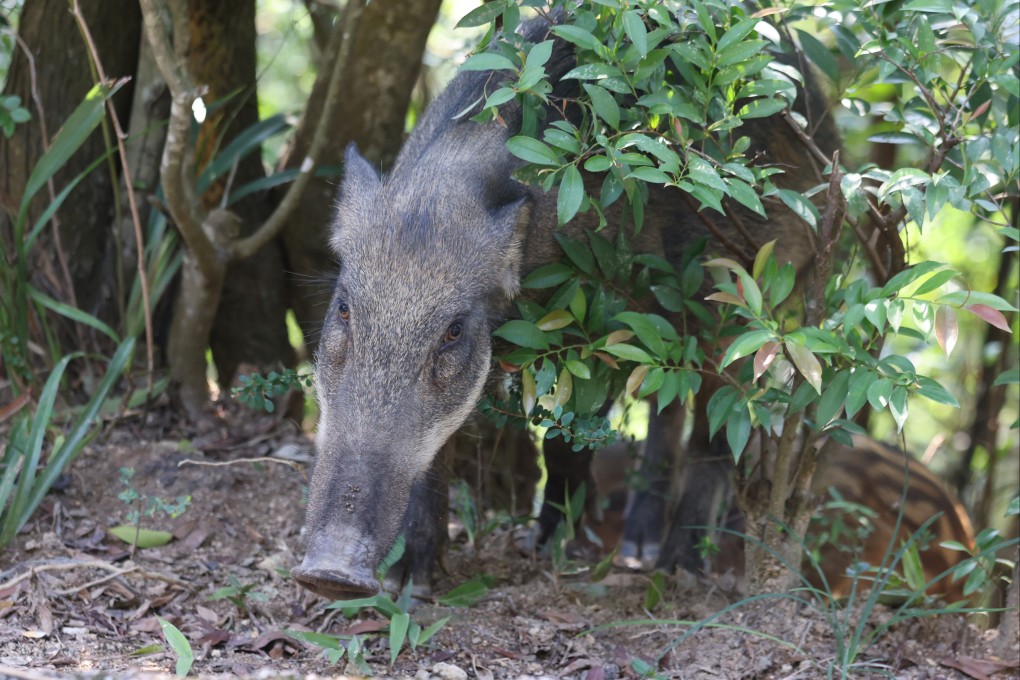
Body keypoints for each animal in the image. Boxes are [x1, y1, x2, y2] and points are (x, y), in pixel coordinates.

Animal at [292, 13, 838, 600]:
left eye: (454, 330)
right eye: (344, 309)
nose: (330, 574)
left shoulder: (609, 323)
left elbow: (570, 435)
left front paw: (550, 547)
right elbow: (438, 457)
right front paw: (408, 587)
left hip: (741, 298)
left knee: (717, 423)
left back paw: (674, 568)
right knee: (669, 408)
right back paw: (639, 550)